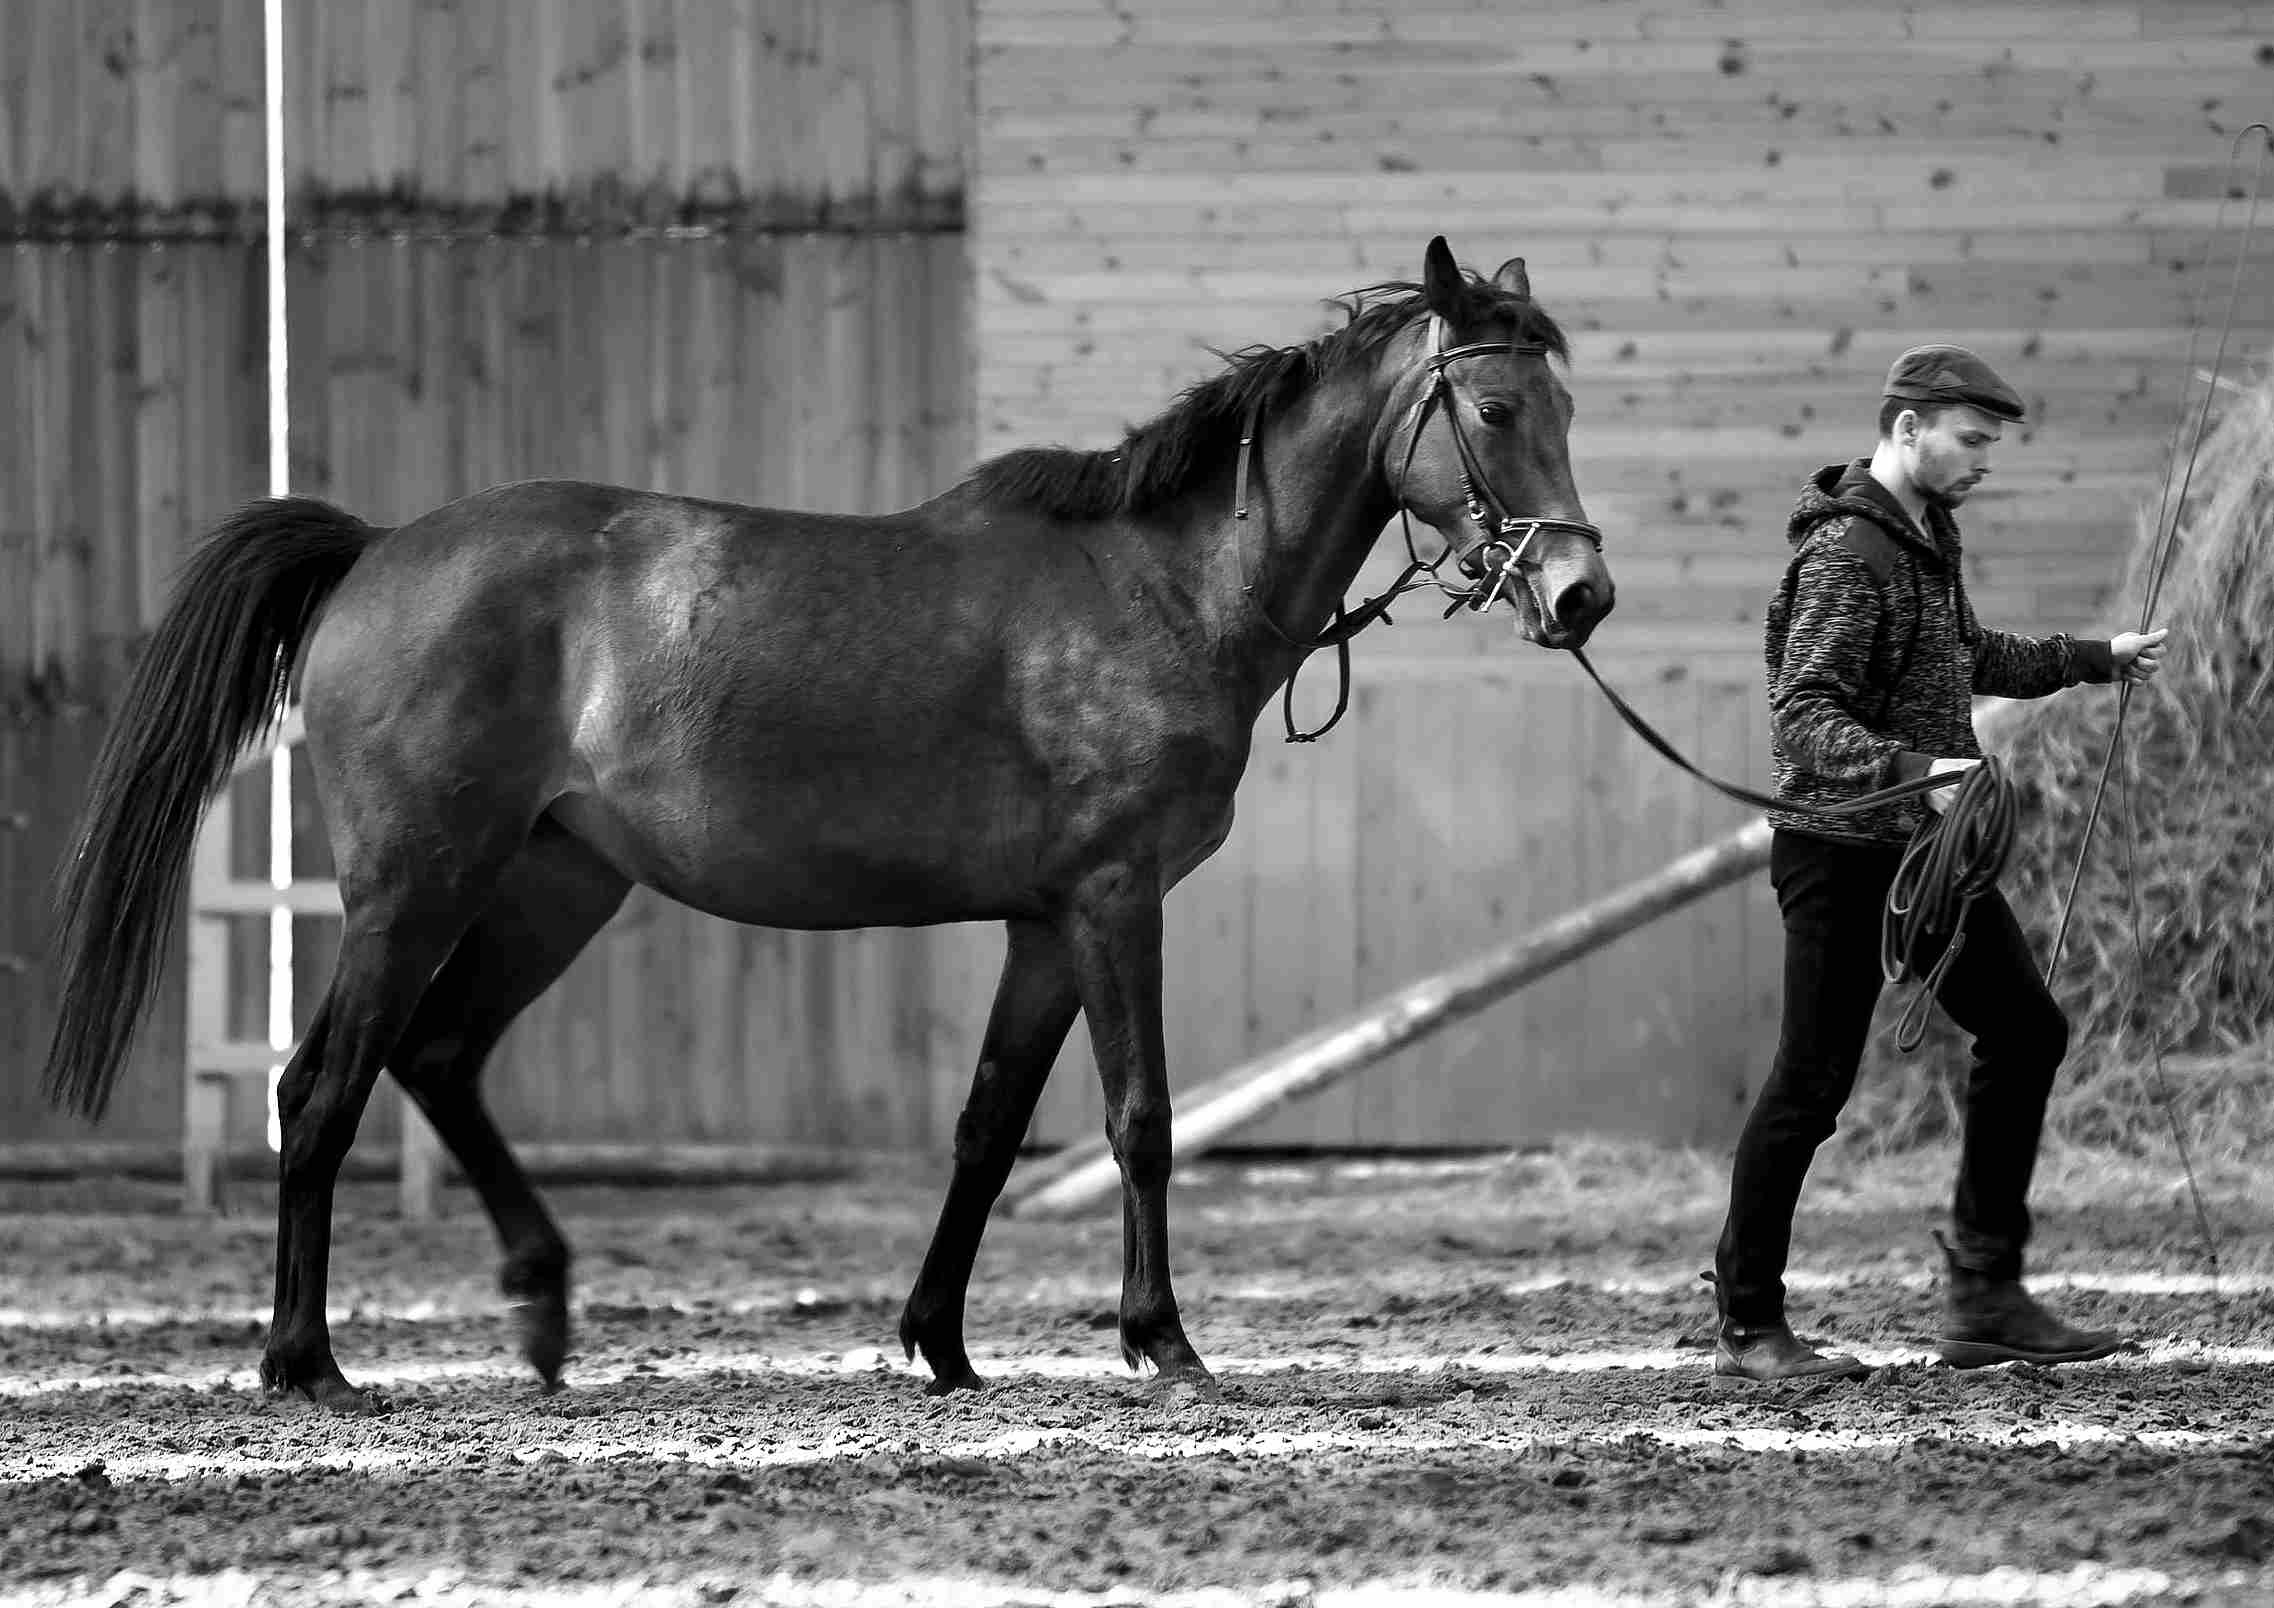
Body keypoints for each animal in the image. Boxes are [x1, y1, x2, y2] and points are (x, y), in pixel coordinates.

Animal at [41, 235, 1614, 1413]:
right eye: (1493, 413)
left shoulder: (1043, 925)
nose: (1581, 595)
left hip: (553, 888)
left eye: (1564, 409)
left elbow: (988, 1126)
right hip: (414, 887)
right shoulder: (1116, 902)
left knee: (433, 1060)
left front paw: (942, 1341)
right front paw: (1161, 1339)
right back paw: (307, 1362)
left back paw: (540, 1313)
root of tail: (376, 552)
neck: (1160, 587)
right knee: (322, 1089)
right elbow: (1140, 1118)